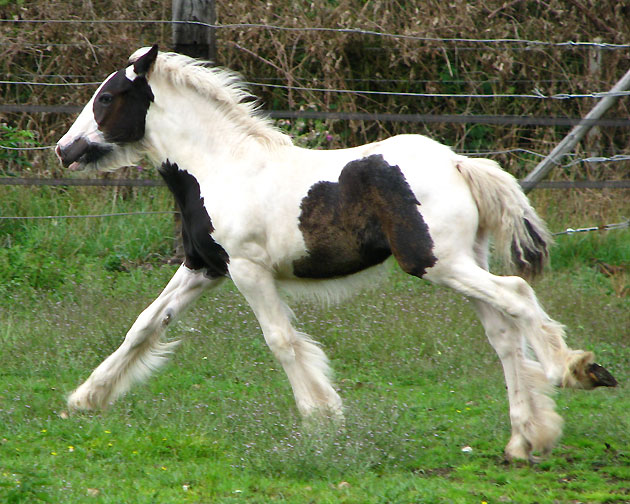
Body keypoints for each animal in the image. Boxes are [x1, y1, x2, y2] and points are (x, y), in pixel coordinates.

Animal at [54, 45, 616, 462]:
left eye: (107, 97)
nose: (64, 150)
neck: (221, 166)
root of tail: (460, 163)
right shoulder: (205, 267)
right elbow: (145, 325)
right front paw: (85, 398)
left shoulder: (247, 269)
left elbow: (281, 340)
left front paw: (322, 419)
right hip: (463, 261)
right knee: (502, 334)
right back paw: (525, 439)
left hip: (437, 262)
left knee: (517, 294)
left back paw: (578, 370)